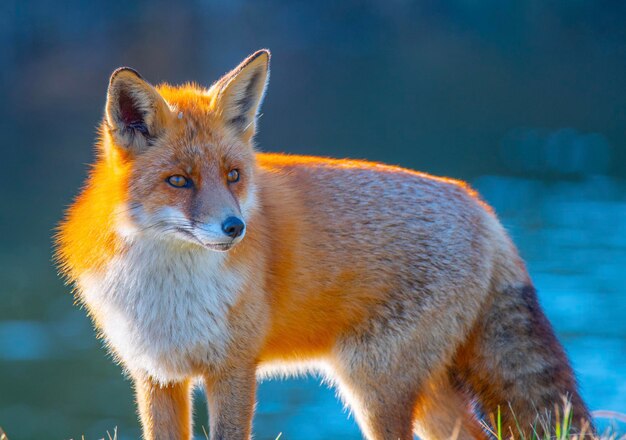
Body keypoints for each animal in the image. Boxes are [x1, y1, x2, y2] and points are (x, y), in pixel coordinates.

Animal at [54, 49, 588, 440]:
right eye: (179, 181)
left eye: (233, 176)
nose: (235, 227)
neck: (168, 289)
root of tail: (482, 209)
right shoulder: (157, 374)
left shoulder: (234, 369)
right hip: (426, 393)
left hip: (375, 388)